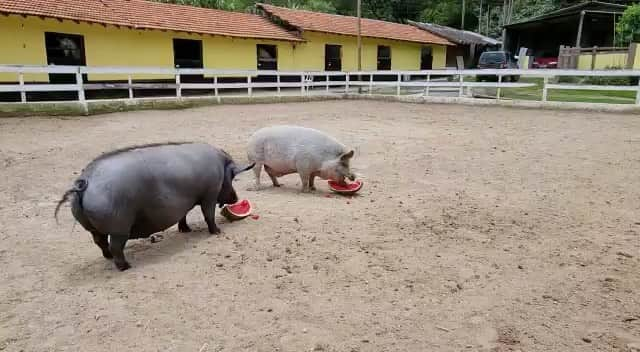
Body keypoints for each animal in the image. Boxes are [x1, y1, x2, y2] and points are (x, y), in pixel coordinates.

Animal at [53, 142, 252, 270]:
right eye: (232, 177)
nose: (236, 198)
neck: (220, 167)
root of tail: (84, 182)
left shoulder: (183, 202)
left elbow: (183, 215)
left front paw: (185, 230)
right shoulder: (209, 194)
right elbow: (208, 214)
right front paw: (217, 232)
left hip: (93, 229)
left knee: (100, 243)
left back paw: (108, 257)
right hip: (119, 228)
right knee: (116, 247)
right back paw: (126, 267)